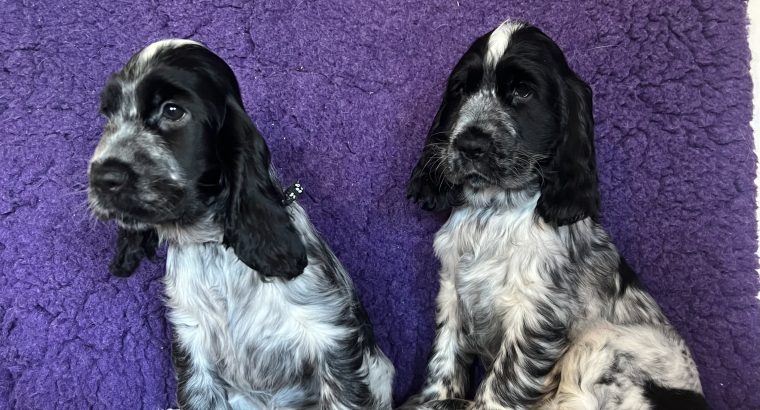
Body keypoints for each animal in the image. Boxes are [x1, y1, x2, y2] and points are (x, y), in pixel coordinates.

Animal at [88, 39, 394, 410]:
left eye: (173, 111)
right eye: (109, 115)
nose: (103, 178)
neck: (215, 246)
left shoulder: (329, 339)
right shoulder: (194, 353)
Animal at [404, 21, 708, 410]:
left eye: (522, 91)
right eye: (462, 91)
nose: (470, 145)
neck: (494, 209)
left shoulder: (537, 312)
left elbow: (501, 384)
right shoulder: (452, 293)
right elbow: (444, 362)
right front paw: (434, 400)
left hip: (600, 344)